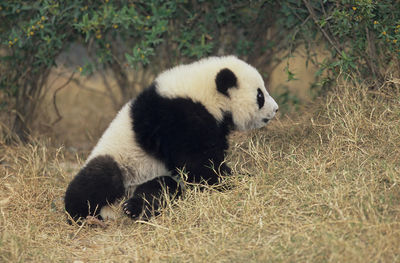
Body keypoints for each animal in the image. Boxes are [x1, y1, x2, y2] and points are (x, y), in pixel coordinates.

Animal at [65, 55, 278, 223]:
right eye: (260, 95)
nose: (276, 109)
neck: (204, 94)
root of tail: (113, 208)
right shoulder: (177, 117)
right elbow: (197, 162)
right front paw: (228, 180)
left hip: (152, 175)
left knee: (160, 189)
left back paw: (134, 208)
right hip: (121, 157)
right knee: (101, 177)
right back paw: (81, 214)